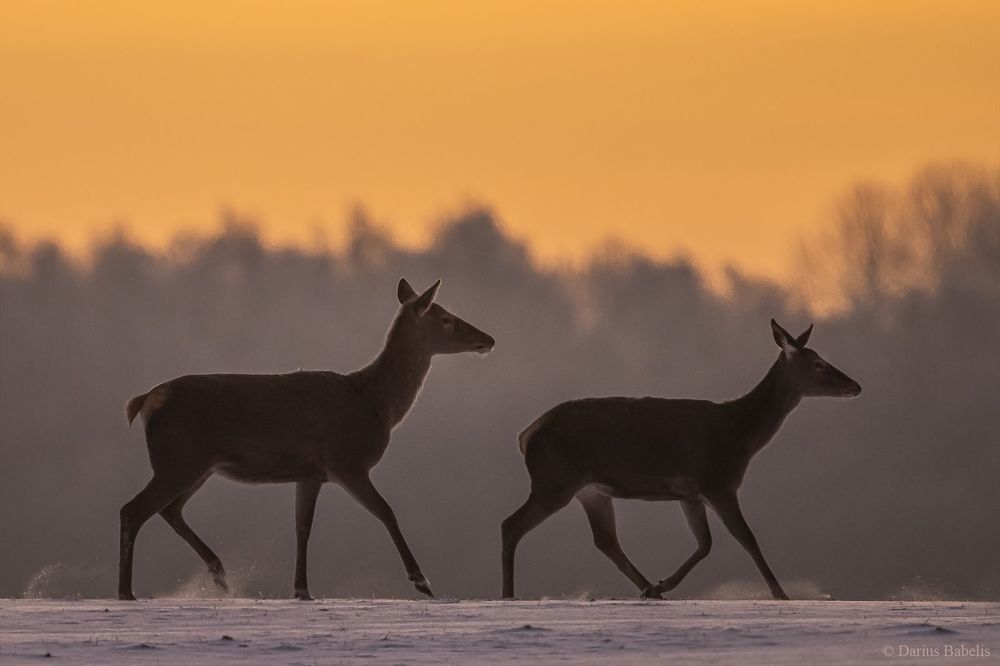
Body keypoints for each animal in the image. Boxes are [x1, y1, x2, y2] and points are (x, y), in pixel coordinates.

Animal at [119, 278, 495, 601]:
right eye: (446, 319)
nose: (488, 339)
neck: (376, 404)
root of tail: (145, 400)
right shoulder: (346, 461)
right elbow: (387, 512)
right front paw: (421, 580)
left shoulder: (310, 473)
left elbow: (303, 526)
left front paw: (301, 589)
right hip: (178, 459)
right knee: (133, 510)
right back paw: (127, 591)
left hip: (196, 466)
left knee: (170, 509)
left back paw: (219, 573)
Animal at [501, 319, 861, 601]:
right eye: (818, 363)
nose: (855, 386)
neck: (741, 434)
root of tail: (524, 436)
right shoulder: (718, 482)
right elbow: (747, 539)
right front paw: (781, 593)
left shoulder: (690, 494)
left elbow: (705, 544)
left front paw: (661, 585)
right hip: (555, 479)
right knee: (511, 524)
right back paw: (508, 594)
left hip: (591, 491)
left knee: (606, 541)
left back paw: (648, 589)